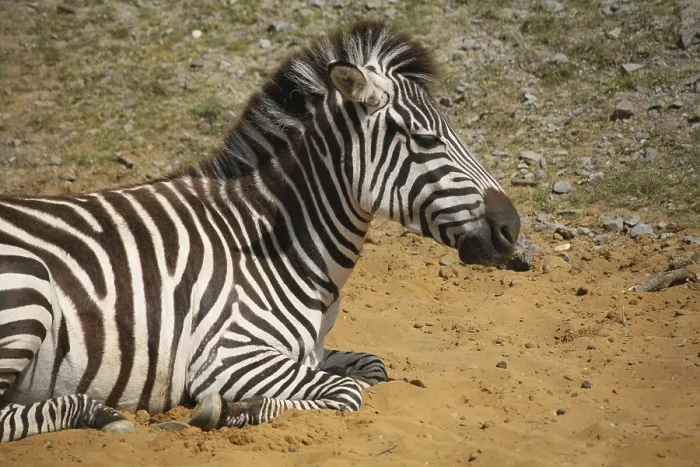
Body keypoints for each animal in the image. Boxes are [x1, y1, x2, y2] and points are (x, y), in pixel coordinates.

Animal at [0, 20, 520, 443]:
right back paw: (99, 414)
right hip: (29, 291)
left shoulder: (310, 350)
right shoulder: (229, 354)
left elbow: (372, 368)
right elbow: (348, 392)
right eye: (426, 140)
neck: (279, 246)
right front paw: (228, 410)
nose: (511, 228)